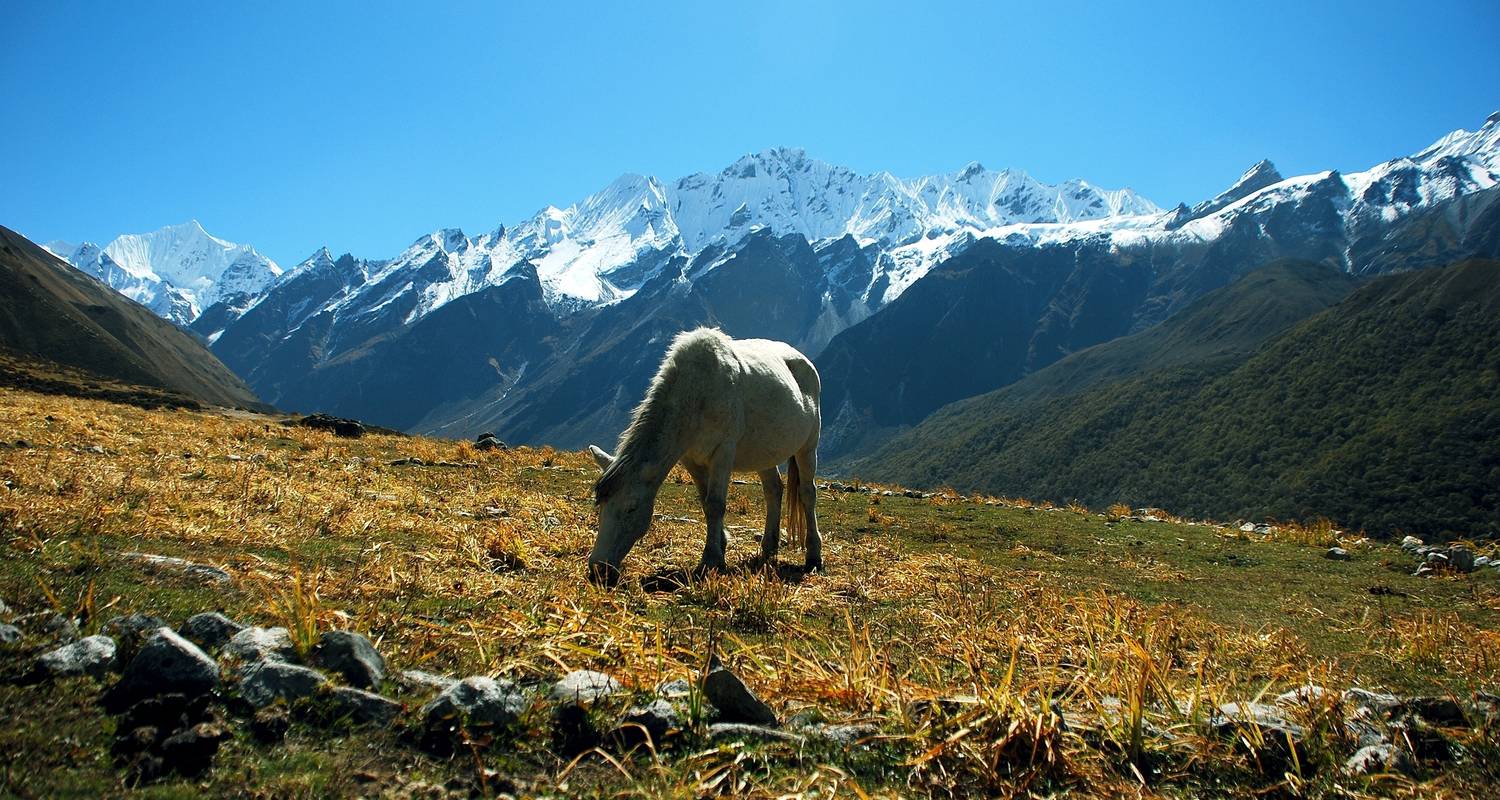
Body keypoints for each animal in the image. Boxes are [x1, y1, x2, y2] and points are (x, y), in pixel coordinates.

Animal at [585, 325, 822, 585]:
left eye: (631, 508)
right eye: (601, 505)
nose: (599, 569)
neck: (697, 392)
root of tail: (803, 360)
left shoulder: (723, 453)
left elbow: (716, 504)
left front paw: (711, 560)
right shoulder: (691, 459)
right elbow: (705, 502)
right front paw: (721, 546)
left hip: (808, 447)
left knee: (807, 493)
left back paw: (814, 555)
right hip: (764, 452)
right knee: (773, 490)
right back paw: (768, 548)